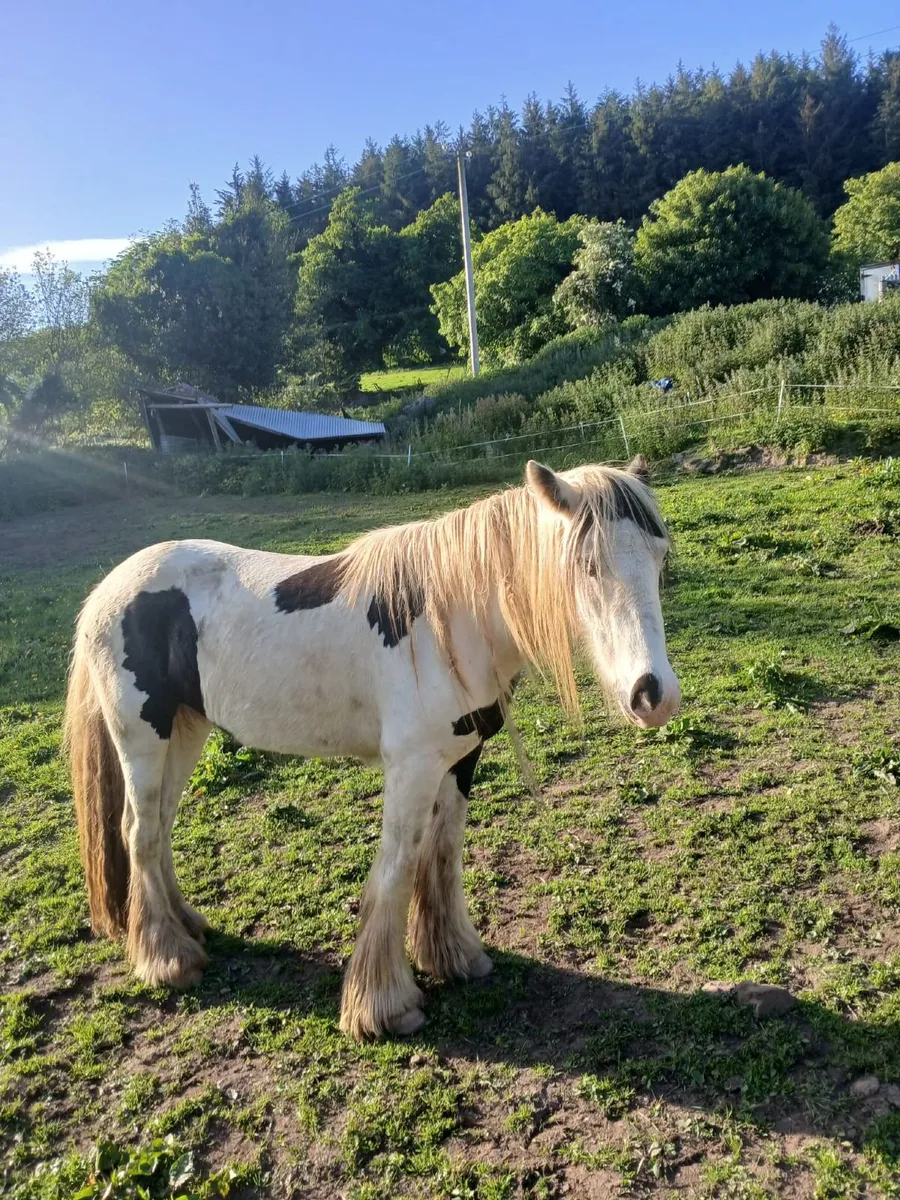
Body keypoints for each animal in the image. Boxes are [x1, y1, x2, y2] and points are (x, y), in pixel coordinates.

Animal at [65, 457, 680, 1039]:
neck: (450, 622)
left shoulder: (460, 758)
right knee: (139, 833)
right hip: (143, 738)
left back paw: (187, 926)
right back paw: (169, 960)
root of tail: (108, 590)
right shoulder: (410, 767)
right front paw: (385, 1007)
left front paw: (454, 956)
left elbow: (443, 852)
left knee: (160, 827)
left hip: (185, 732)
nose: (653, 695)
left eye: (659, 557)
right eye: (587, 565)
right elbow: (397, 867)